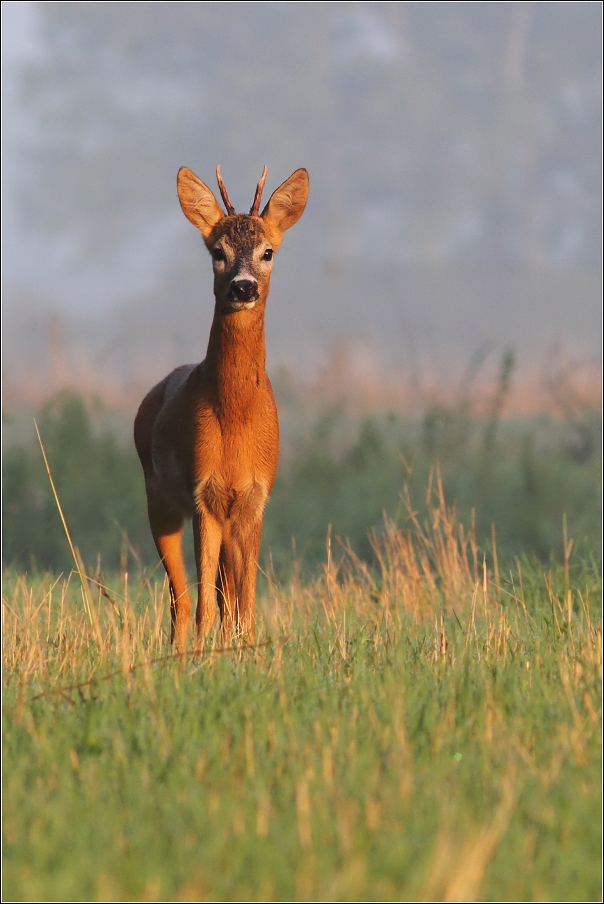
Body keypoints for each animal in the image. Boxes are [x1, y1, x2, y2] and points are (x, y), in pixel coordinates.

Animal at [134, 166, 310, 648]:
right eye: (218, 251)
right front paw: (204, 656)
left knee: (221, 595)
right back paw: (178, 649)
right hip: (158, 498)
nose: (243, 286)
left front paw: (244, 650)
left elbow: (244, 602)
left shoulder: (254, 498)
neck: (236, 420)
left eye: (268, 252)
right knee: (181, 599)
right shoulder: (202, 494)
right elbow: (205, 606)